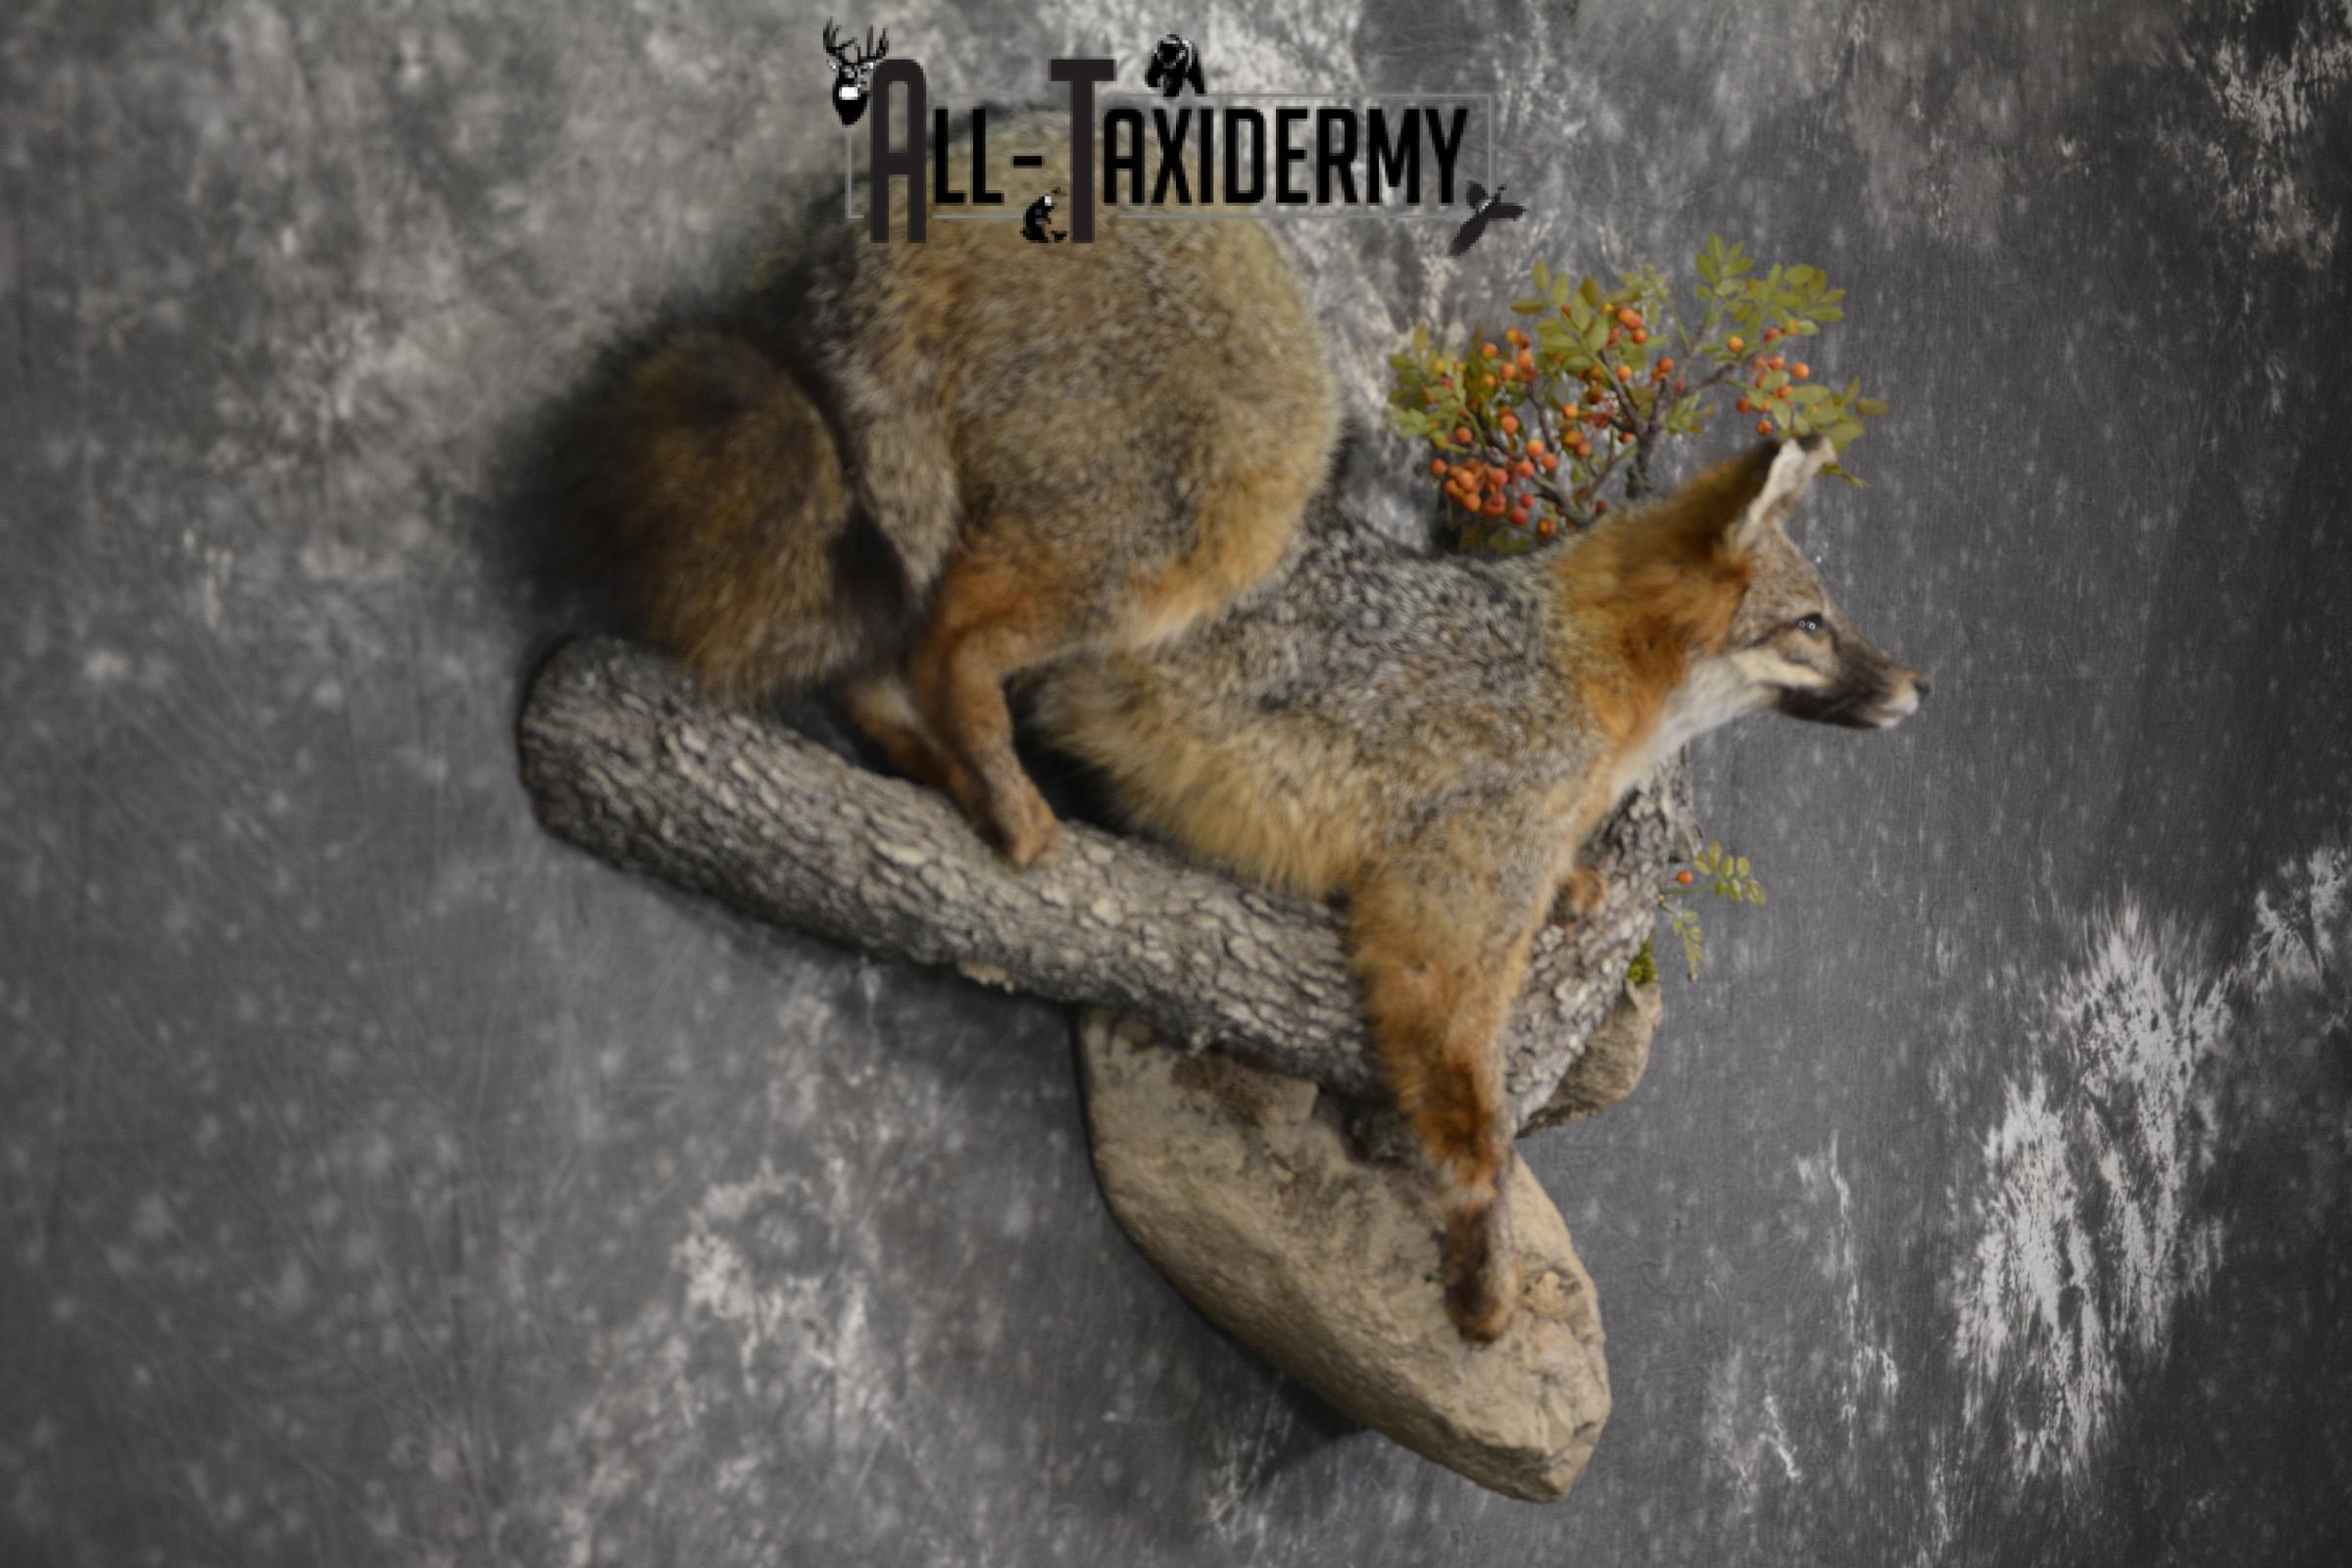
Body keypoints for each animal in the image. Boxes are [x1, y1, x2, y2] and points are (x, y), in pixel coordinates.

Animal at [575, 110, 1927, 1344]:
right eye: (1814, 625)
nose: (1916, 686)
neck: (1569, 673)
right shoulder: (1445, 933)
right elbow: (1481, 1134)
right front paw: (1483, 1281)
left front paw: (1587, 887)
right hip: (1221, 499)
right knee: (938, 640)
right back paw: (1008, 803)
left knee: (881, 656)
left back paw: (944, 767)